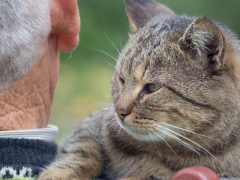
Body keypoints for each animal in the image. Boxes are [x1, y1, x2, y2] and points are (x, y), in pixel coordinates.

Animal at [38, 0, 240, 180]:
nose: (119, 111)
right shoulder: (95, 122)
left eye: (153, 87)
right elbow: (81, 149)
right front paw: (57, 174)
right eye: (121, 79)